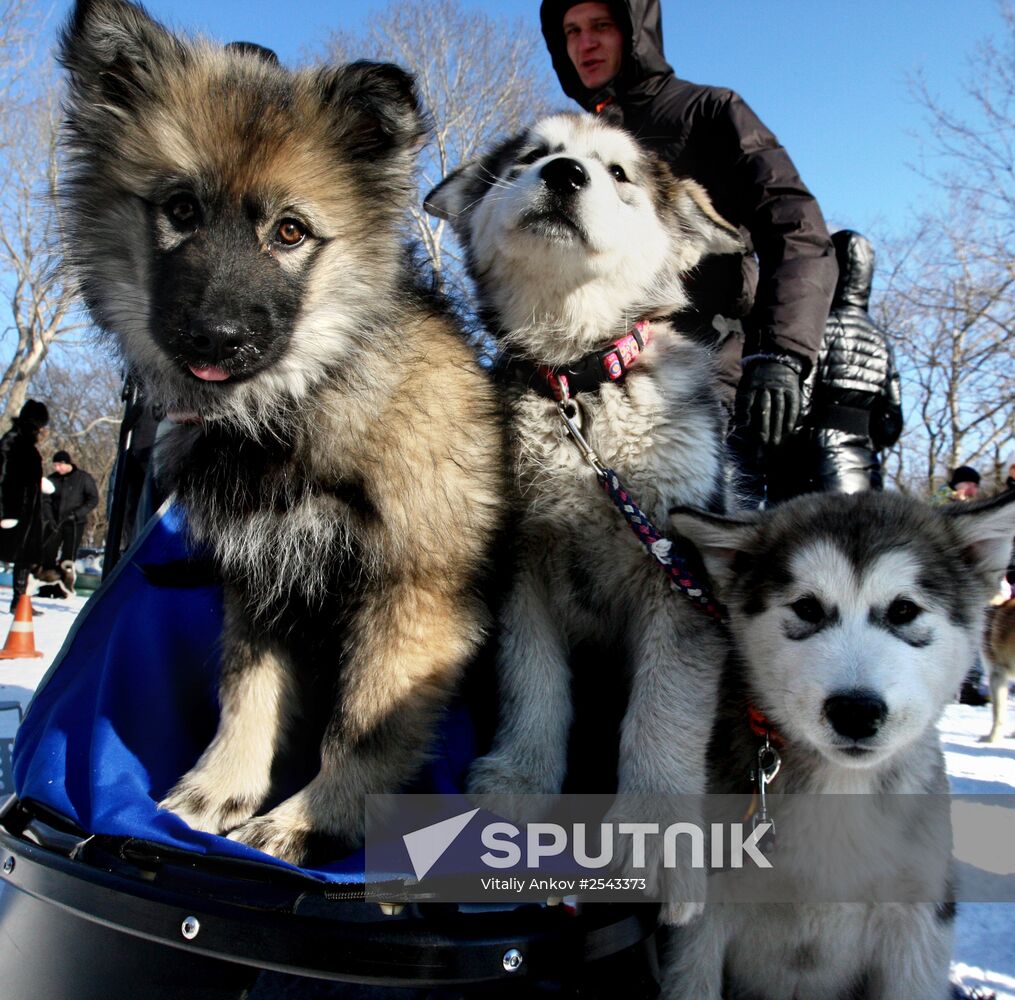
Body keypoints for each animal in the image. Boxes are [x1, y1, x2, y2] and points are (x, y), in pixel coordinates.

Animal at [57, 0, 505, 860]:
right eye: (181, 210)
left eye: (291, 232)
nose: (216, 338)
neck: (293, 405)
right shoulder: (260, 580)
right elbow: (250, 695)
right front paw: (218, 792)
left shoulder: (412, 596)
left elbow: (360, 727)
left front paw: (312, 821)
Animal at [424, 111, 742, 921]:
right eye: (531, 157)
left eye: (619, 173)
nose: (564, 174)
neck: (579, 383)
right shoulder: (521, 562)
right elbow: (533, 683)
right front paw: (521, 780)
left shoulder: (679, 574)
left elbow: (663, 711)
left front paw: (657, 833)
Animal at [665, 487, 1015, 994]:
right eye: (807, 607)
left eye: (903, 609)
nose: (855, 710)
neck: (842, 786)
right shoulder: (698, 930)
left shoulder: (917, 928)